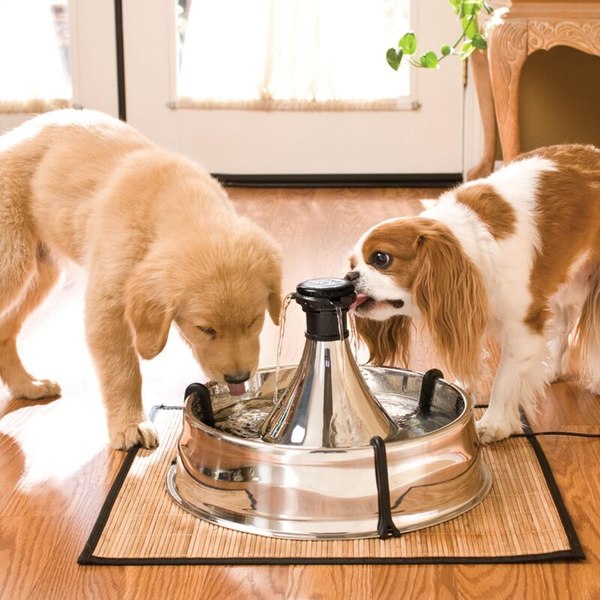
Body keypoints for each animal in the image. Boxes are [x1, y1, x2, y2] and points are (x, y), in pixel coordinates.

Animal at [0, 110, 282, 452]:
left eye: (254, 321)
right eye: (205, 329)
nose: (238, 379)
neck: (177, 203)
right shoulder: (106, 307)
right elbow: (123, 371)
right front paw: (129, 424)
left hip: (40, 273)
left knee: (5, 330)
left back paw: (27, 385)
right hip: (11, 262)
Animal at [346, 144, 600, 442]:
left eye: (381, 258)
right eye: (352, 265)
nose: (350, 277)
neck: (468, 250)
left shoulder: (522, 325)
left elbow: (504, 378)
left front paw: (495, 423)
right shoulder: (466, 311)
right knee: (563, 327)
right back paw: (554, 371)